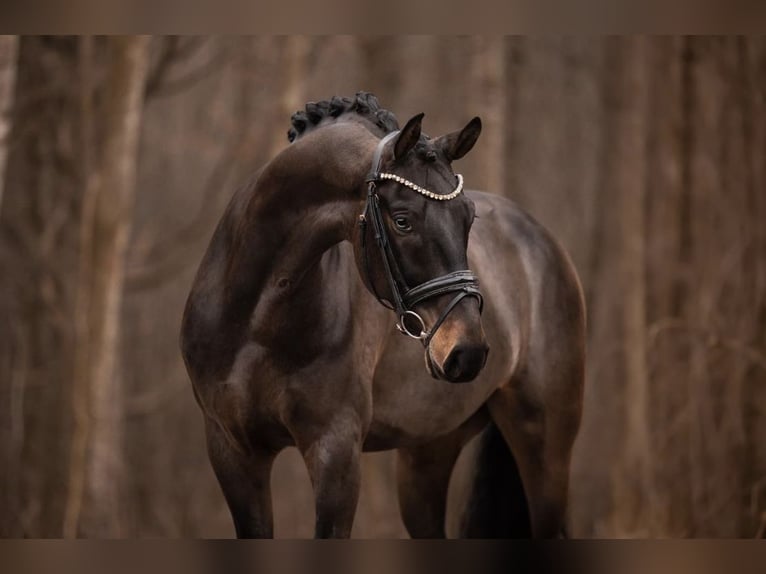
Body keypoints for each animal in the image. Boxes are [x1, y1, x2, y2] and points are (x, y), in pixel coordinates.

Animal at [180, 93, 585, 538]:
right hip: (427, 453)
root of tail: (542, 242)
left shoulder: (335, 451)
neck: (256, 322)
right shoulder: (234, 452)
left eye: (468, 218)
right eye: (403, 221)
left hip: (544, 447)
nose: (468, 352)